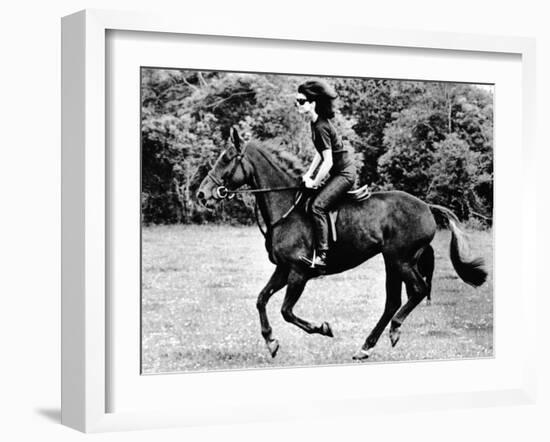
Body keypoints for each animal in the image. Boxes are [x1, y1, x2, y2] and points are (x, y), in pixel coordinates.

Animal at [197, 128, 488, 360]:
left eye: (226, 158)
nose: (201, 194)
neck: (286, 209)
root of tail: (427, 206)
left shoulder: (299, 272)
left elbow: (286, 311)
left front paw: (322, 329)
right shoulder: (283, 269)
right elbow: (261, 300)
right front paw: (270, 341)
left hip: (401, 259)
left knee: (417, 290)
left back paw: (393, 330)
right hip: (392, 261)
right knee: (393, 301)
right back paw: (366, 347)